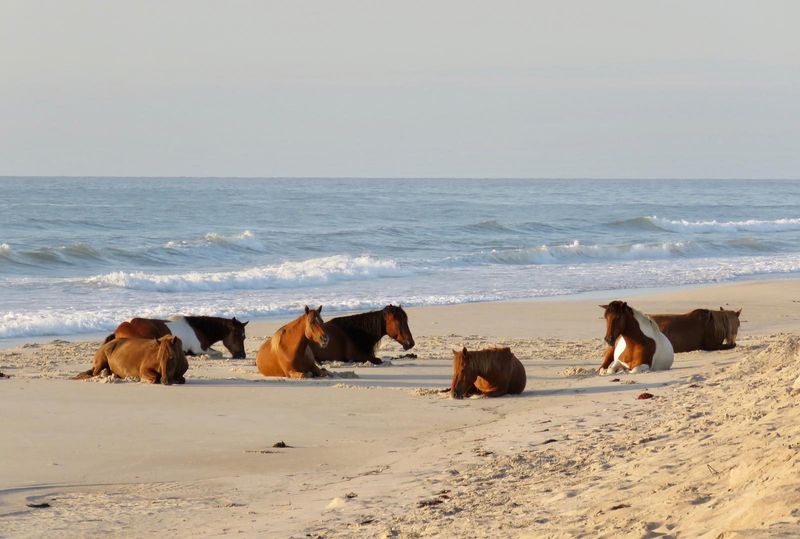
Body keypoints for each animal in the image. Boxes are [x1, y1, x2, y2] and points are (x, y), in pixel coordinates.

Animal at [104, 316, 247, 358]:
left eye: (244, 337)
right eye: (237, 335)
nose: (242, 355)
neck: (198, 328)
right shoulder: (199, 349)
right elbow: (218, 353)